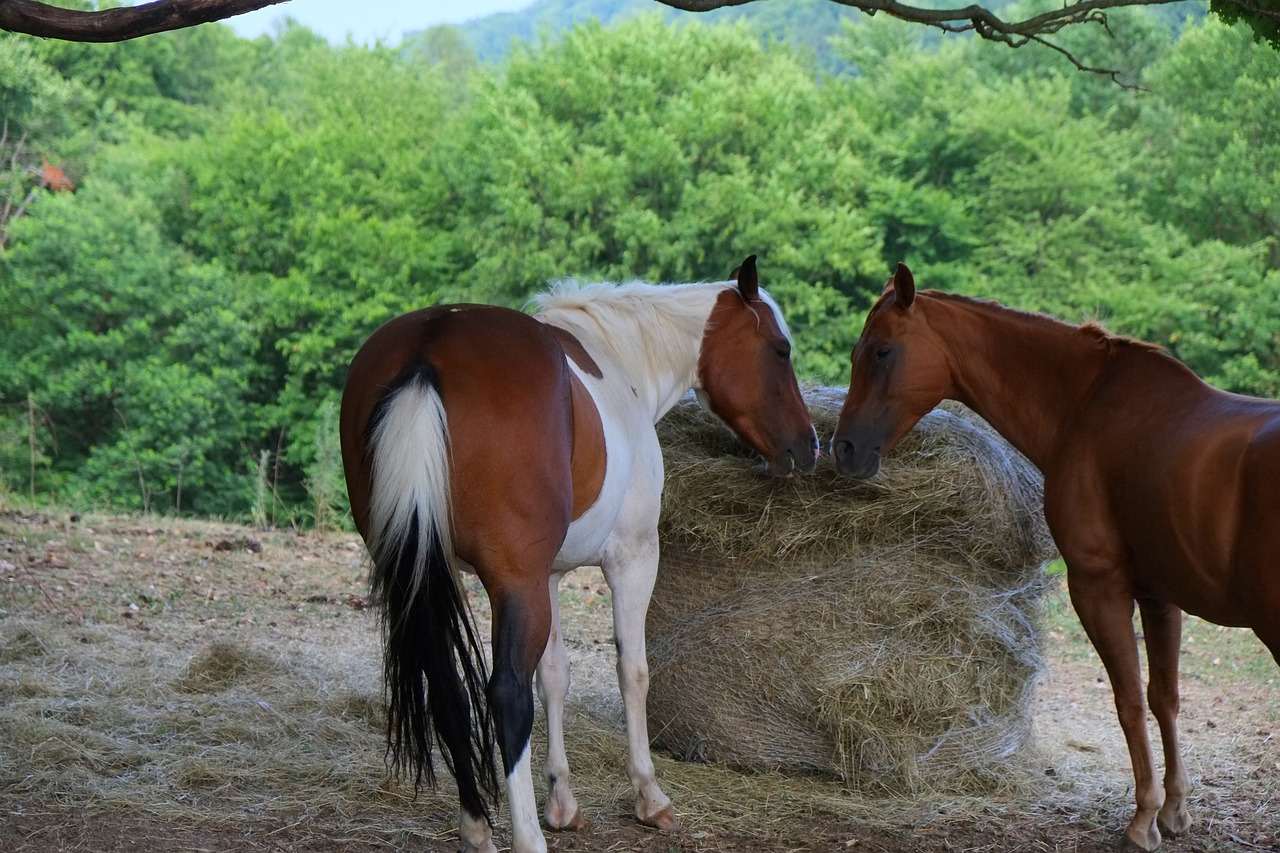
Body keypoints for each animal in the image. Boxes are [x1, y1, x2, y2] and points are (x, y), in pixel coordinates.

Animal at [343, 253, 819, 850]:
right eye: (780, 350)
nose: (809, 446)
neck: (622, 362)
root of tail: (427, 351)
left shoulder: (545, 575)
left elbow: (555, 675)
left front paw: (563, 802)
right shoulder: (632, 560)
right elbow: (632, 670)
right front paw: (649, 796)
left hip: (432, 575)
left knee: (447, 690)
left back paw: (476, 827)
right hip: (511, 583)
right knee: (505, 695)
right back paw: (525, 837)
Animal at [829, 262, 1280, 845]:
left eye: (882, 351)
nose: (844, 449)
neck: (1087, 402)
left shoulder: (1097, 586)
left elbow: (1129, 700)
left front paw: (1142, 818)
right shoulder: (1160, 597)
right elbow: (1164, 697)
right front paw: (1175, 809)